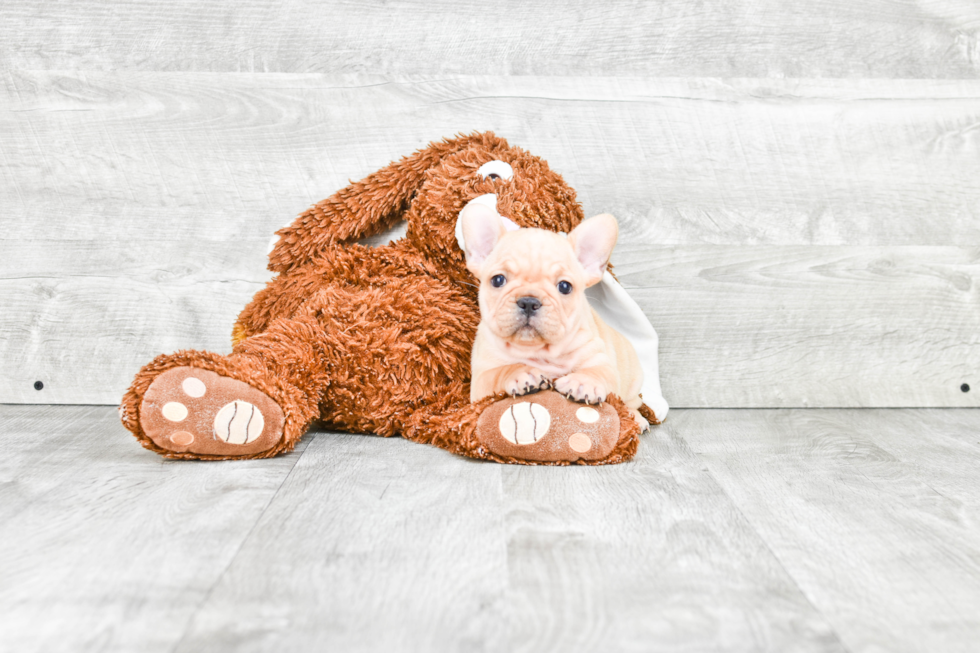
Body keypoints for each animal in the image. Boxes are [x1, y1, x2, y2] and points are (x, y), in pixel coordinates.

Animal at [462, 201, 652, 430]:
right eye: (497, 280)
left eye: (564, 287)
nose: (529, 301)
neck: (539, 351)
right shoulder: (480, 381)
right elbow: (499, 372)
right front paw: (521, 373)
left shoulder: (600, 359)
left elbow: (598, 371)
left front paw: (582, 382)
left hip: (633, 382)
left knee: (631, 403)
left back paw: (637, 419)